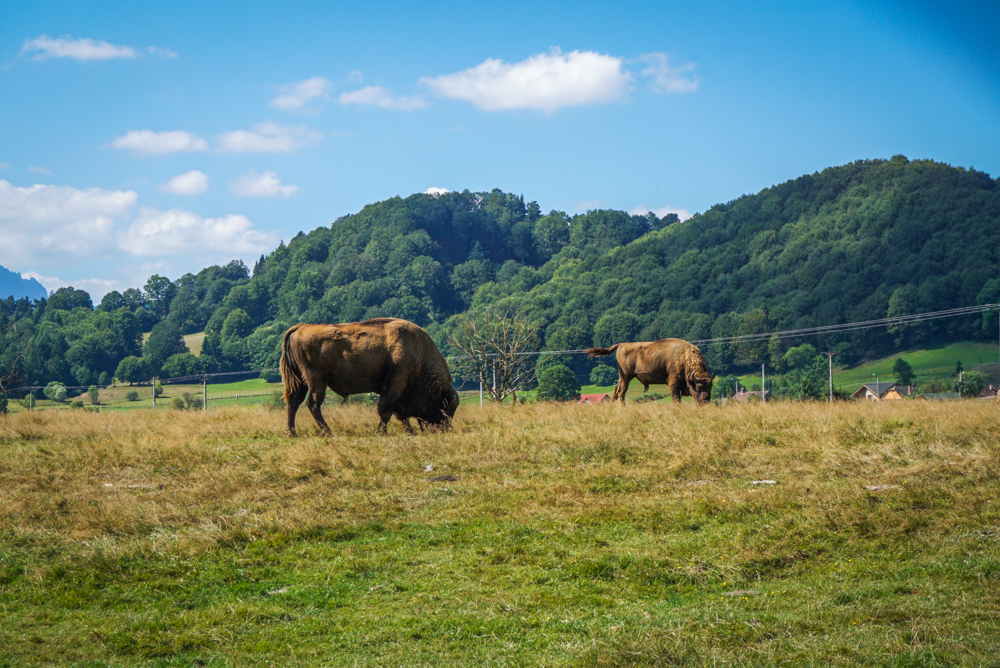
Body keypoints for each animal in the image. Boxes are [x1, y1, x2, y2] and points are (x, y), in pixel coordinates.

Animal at [278, 318, 458, 438]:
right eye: (443, 408)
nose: (442, 429)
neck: (419, 354)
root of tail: (301, 327)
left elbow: (397, 412)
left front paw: (408, 431)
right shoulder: (395, 384)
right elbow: (386, 410)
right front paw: (383, 432)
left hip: (302, 381)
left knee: (294, 402)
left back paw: (292, 433)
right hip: (317, 379)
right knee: (313, 403)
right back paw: (328, 432)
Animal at [584, 340, 720, 402]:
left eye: (710, 387)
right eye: (699, 387)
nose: (706, 400)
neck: (683, 358)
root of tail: (621, 345)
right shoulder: (674, 384)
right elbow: (676, 399)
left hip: (623, 377)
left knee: (616, 390)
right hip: (626, 376)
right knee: (622, 392)